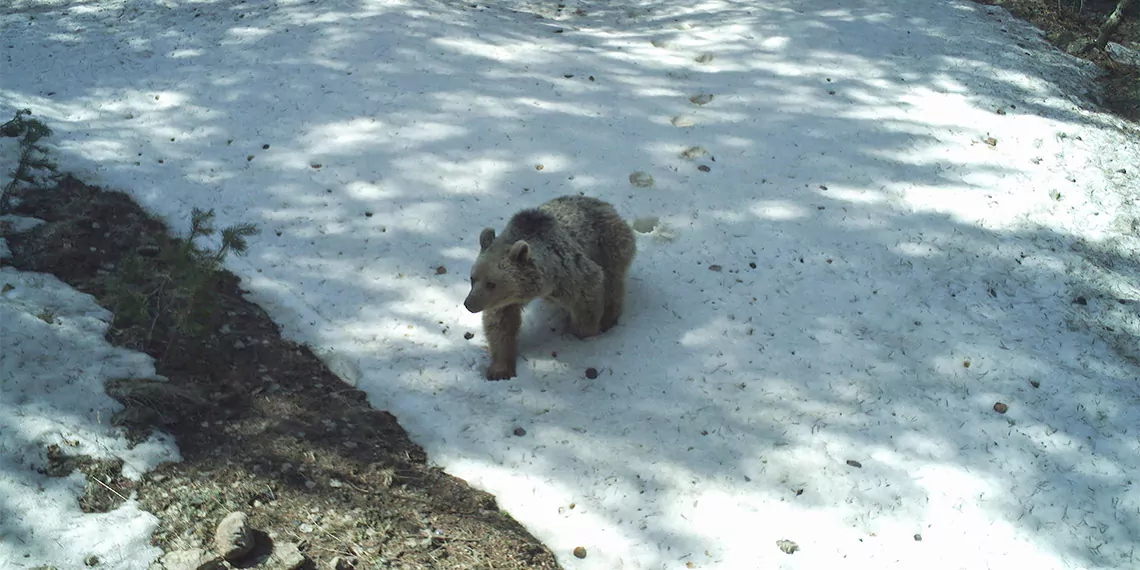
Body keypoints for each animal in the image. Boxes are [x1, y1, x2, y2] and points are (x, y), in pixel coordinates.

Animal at [465, 194, 642, 378]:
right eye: (472, 278)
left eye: (491, 283)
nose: (469, 304)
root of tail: (606, 205)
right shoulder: (506, 301)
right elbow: (501, 324)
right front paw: (499, 369)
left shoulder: (568, 275)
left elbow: (588, 291)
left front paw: (582, 333)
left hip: (609, 246)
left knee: (613, 282)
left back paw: (609, 319)